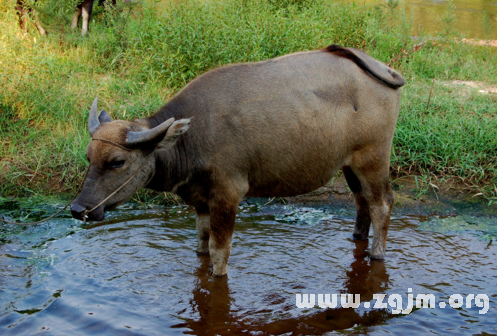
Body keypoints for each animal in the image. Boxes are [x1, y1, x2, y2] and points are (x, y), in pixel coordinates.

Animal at [70, 44, 404, 276]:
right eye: (88, 156)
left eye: (117, 162)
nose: (77, 208)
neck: (191, 137)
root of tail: (378, 67)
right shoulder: (201, 200)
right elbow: (201, 242)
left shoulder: (228, 195)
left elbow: (220, 252)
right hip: (349, 165)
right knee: (361, 202)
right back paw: (357, 238)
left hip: (373, 158)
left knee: (382, 204)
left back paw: (377, 254)